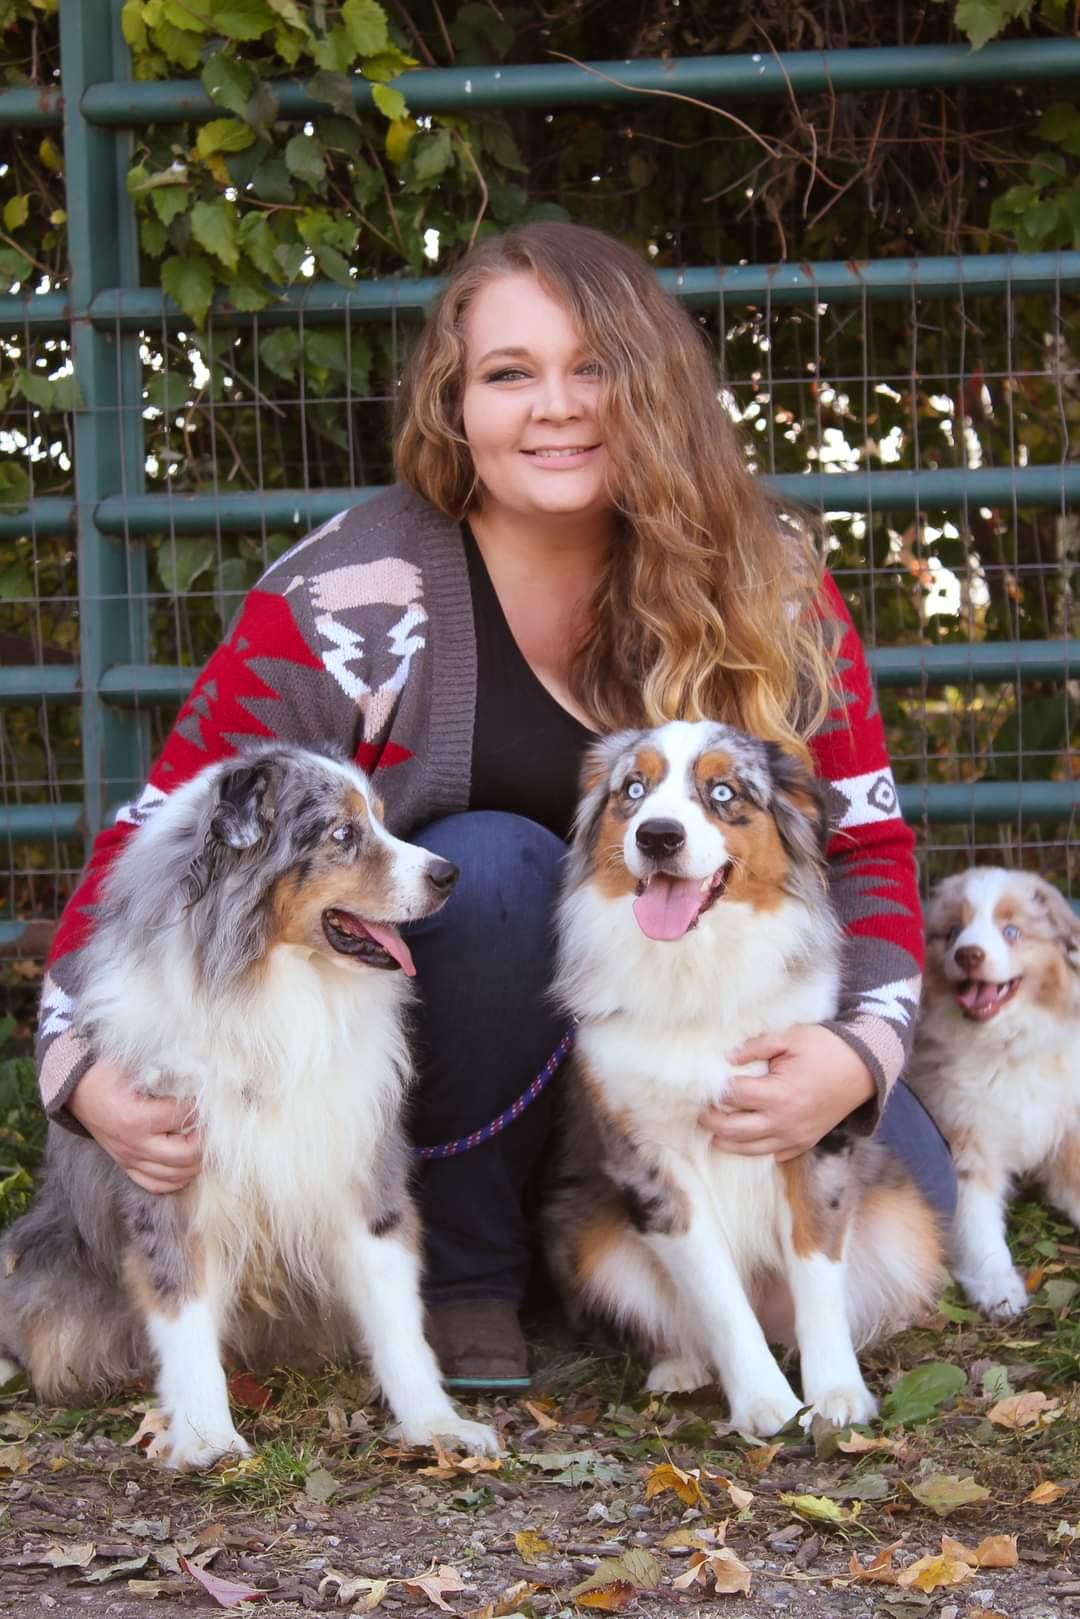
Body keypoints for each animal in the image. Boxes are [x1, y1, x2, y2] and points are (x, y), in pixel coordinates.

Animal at [0, 744, 497, 1468]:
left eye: (381, 818)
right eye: (342, 834)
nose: (449, 874)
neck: (271, 988)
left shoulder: (358, 1164)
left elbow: (397, 1306)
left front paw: (437, 1423)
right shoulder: (166, 1182)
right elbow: (183, 1316)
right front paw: (207, 1437)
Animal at [543, 720, 943, 1437]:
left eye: (723, 792)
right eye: (633, 790)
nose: (658, 835)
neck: (695, 970)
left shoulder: (812, 1133)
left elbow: (818, 1273)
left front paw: (837, 1394)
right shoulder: (654, 1164)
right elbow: (721, 1300)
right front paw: (764, 1403)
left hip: (908, 1220)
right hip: (588, 1238)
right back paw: (678, 1368)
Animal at [907, 865, 1080, 1320]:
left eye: (1011, 931)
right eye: (953, 933)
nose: (968, 954)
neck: (1005, 1047)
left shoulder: (1069, 1122)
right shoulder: (963, 1138)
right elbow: (978, 1224)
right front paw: (996, 1286)